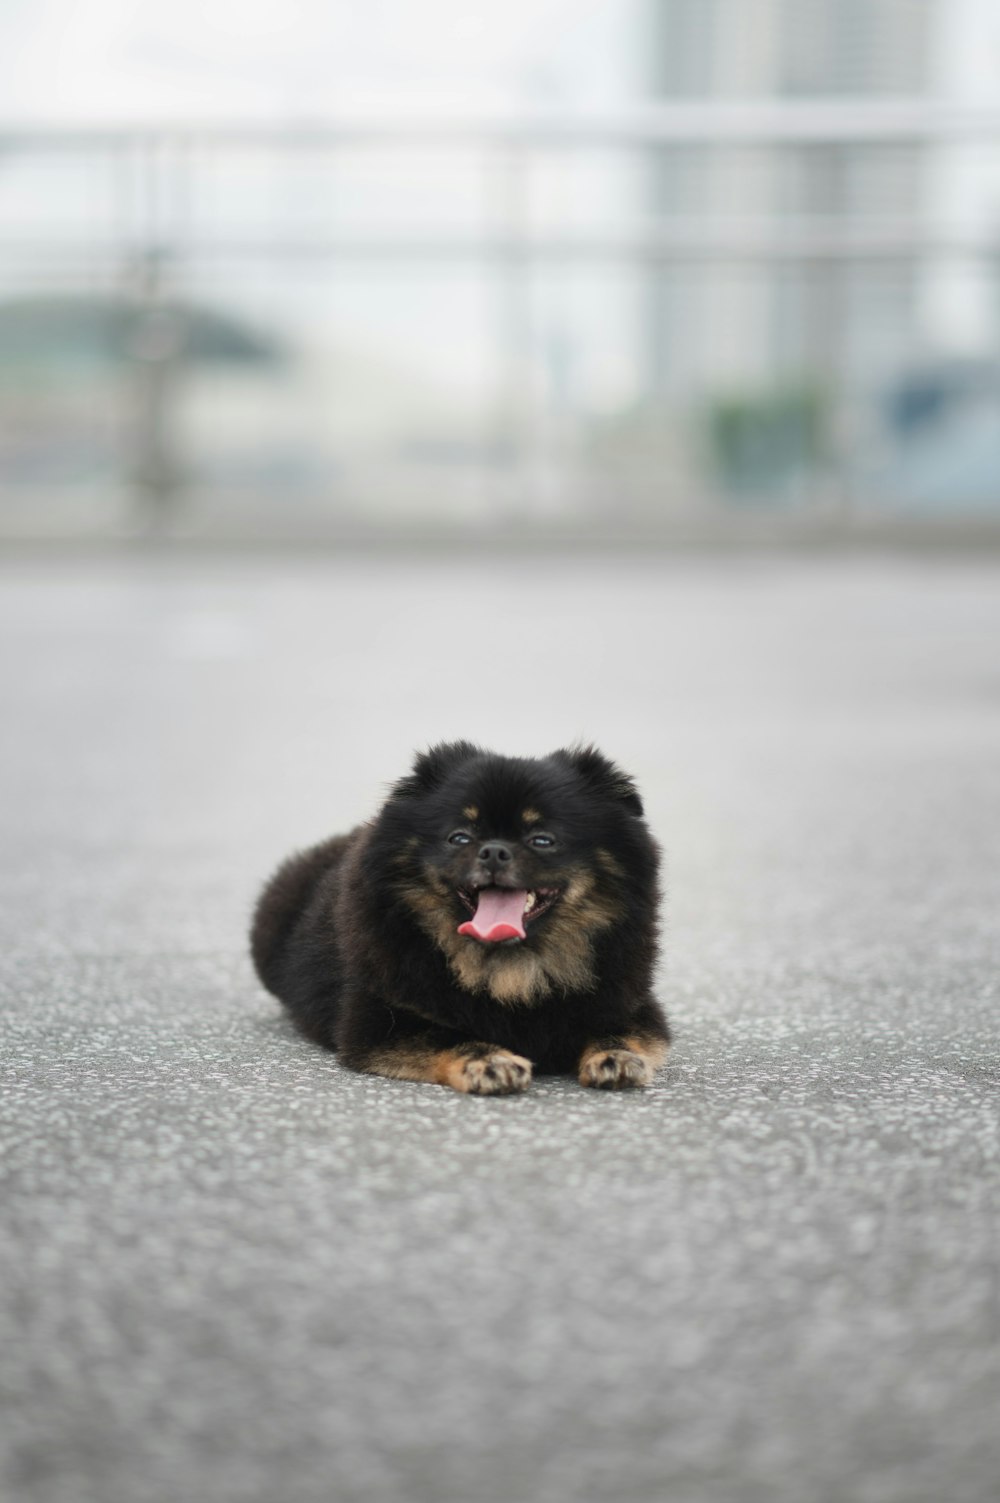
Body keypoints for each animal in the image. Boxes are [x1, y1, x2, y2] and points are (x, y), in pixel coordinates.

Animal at [249, 739, 670, 1094]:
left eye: (543, 840)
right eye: (460, 838)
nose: (494, 850)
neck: (512, 971)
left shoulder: (632, 1005)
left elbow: (618, 1031)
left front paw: (615, 1057)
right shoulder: (379, 1022)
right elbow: (444, 1036)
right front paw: (491, 1061)